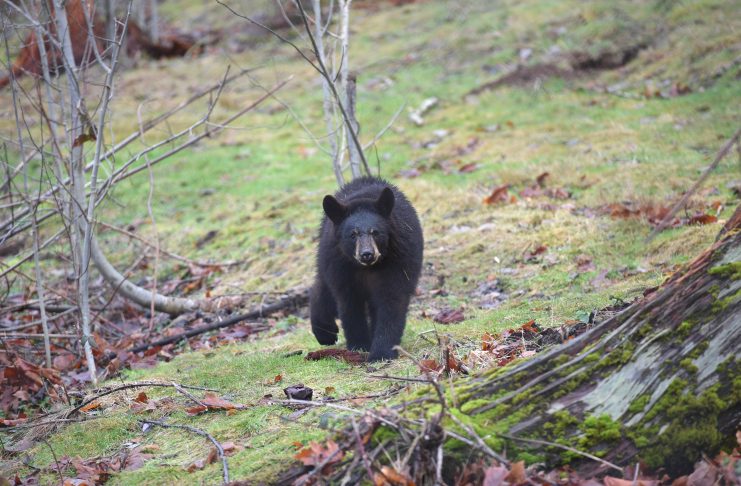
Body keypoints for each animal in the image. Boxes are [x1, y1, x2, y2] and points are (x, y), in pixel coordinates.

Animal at [310, 176, 424, 361]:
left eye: (375, 232)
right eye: (352, 234)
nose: (367, 254)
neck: (367, 269)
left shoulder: (399, 261)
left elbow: (392, 300)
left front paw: (381, 352)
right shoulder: (341, 267)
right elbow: (349, 304)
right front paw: (359, 345)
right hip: (327, 254)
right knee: (322, 286)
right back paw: (325, 332)